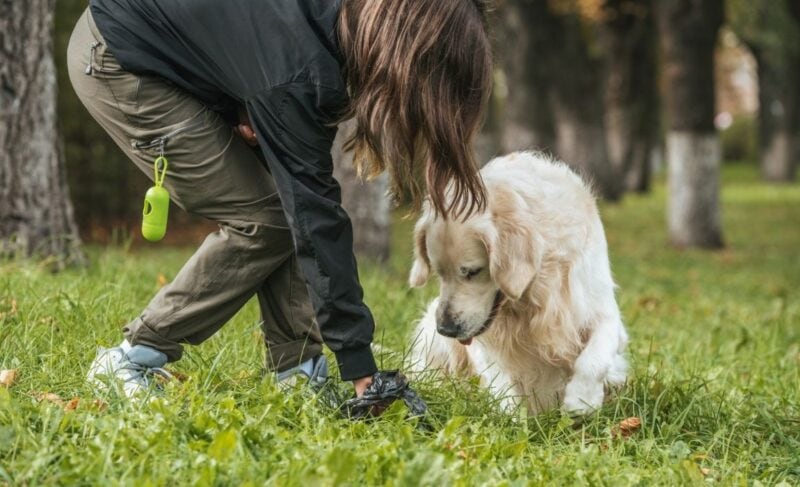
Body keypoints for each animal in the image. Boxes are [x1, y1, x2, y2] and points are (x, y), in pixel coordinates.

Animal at [410, 152, 628, 416]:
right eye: (439, 274)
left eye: (472, 272)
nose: (446, 329)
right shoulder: (484, 340)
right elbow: (500, 381)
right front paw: (510, 419)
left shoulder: (601, 310)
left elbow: (594, 358)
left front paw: (581, 400)